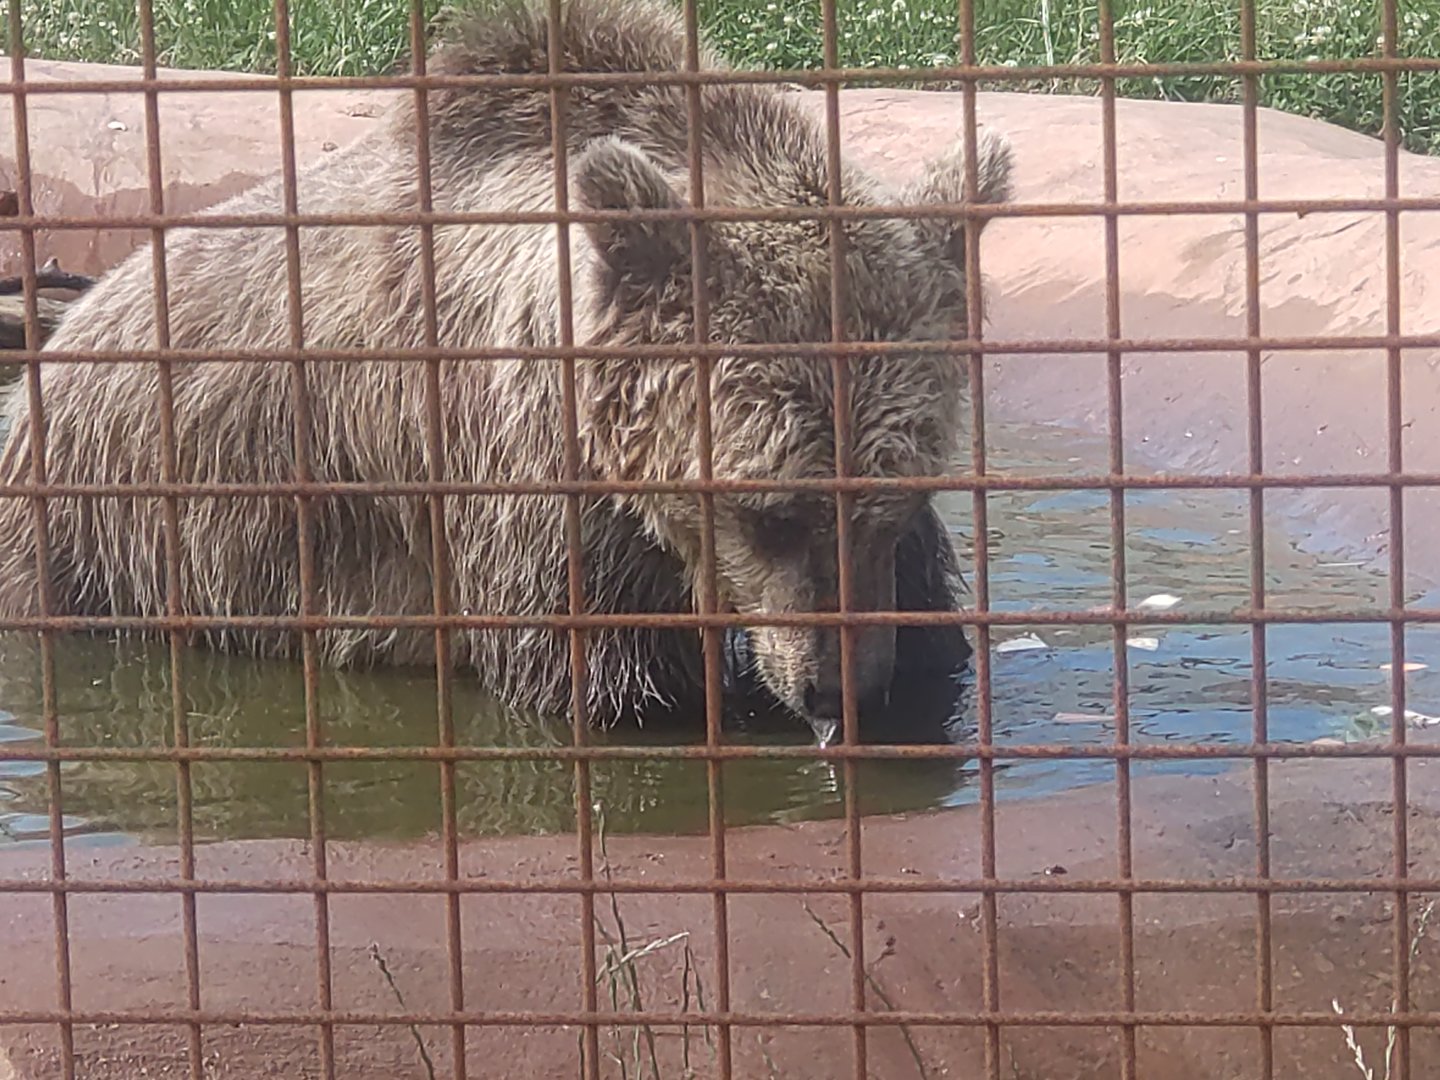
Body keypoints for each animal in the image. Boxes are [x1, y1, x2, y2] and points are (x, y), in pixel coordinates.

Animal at [0, 0, 1013, 736]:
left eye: (892, 501)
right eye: (774, 514)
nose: (837, 693)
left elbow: (935, 629)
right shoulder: (520, 472)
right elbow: (603, 681)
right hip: (118, 533)